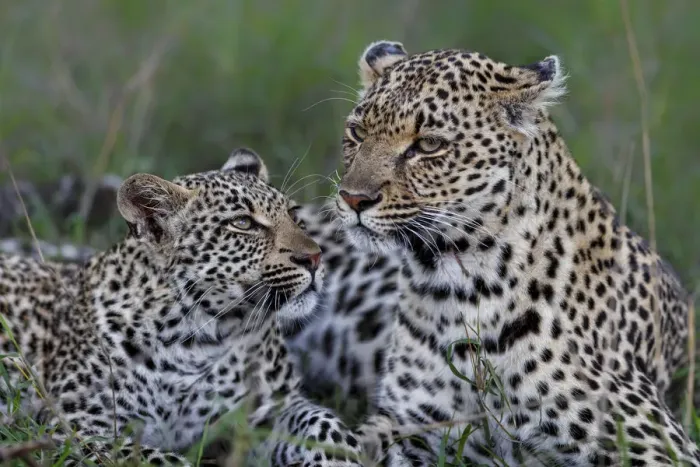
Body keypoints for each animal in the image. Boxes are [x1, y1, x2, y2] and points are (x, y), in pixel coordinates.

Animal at [0, 148, 364, 466]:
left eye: (294, 216)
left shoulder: (275, 409)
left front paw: (345, 457)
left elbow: (326, 427)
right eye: (242, 223)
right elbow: (161, 460)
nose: (315, 258)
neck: (202, 336)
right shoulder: (76, 428)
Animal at [334, 40, 698, 466]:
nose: (353, 198)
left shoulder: (655, 444)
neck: (453, 290)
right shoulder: (407, 427)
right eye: (357, 132)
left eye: (429, 145)